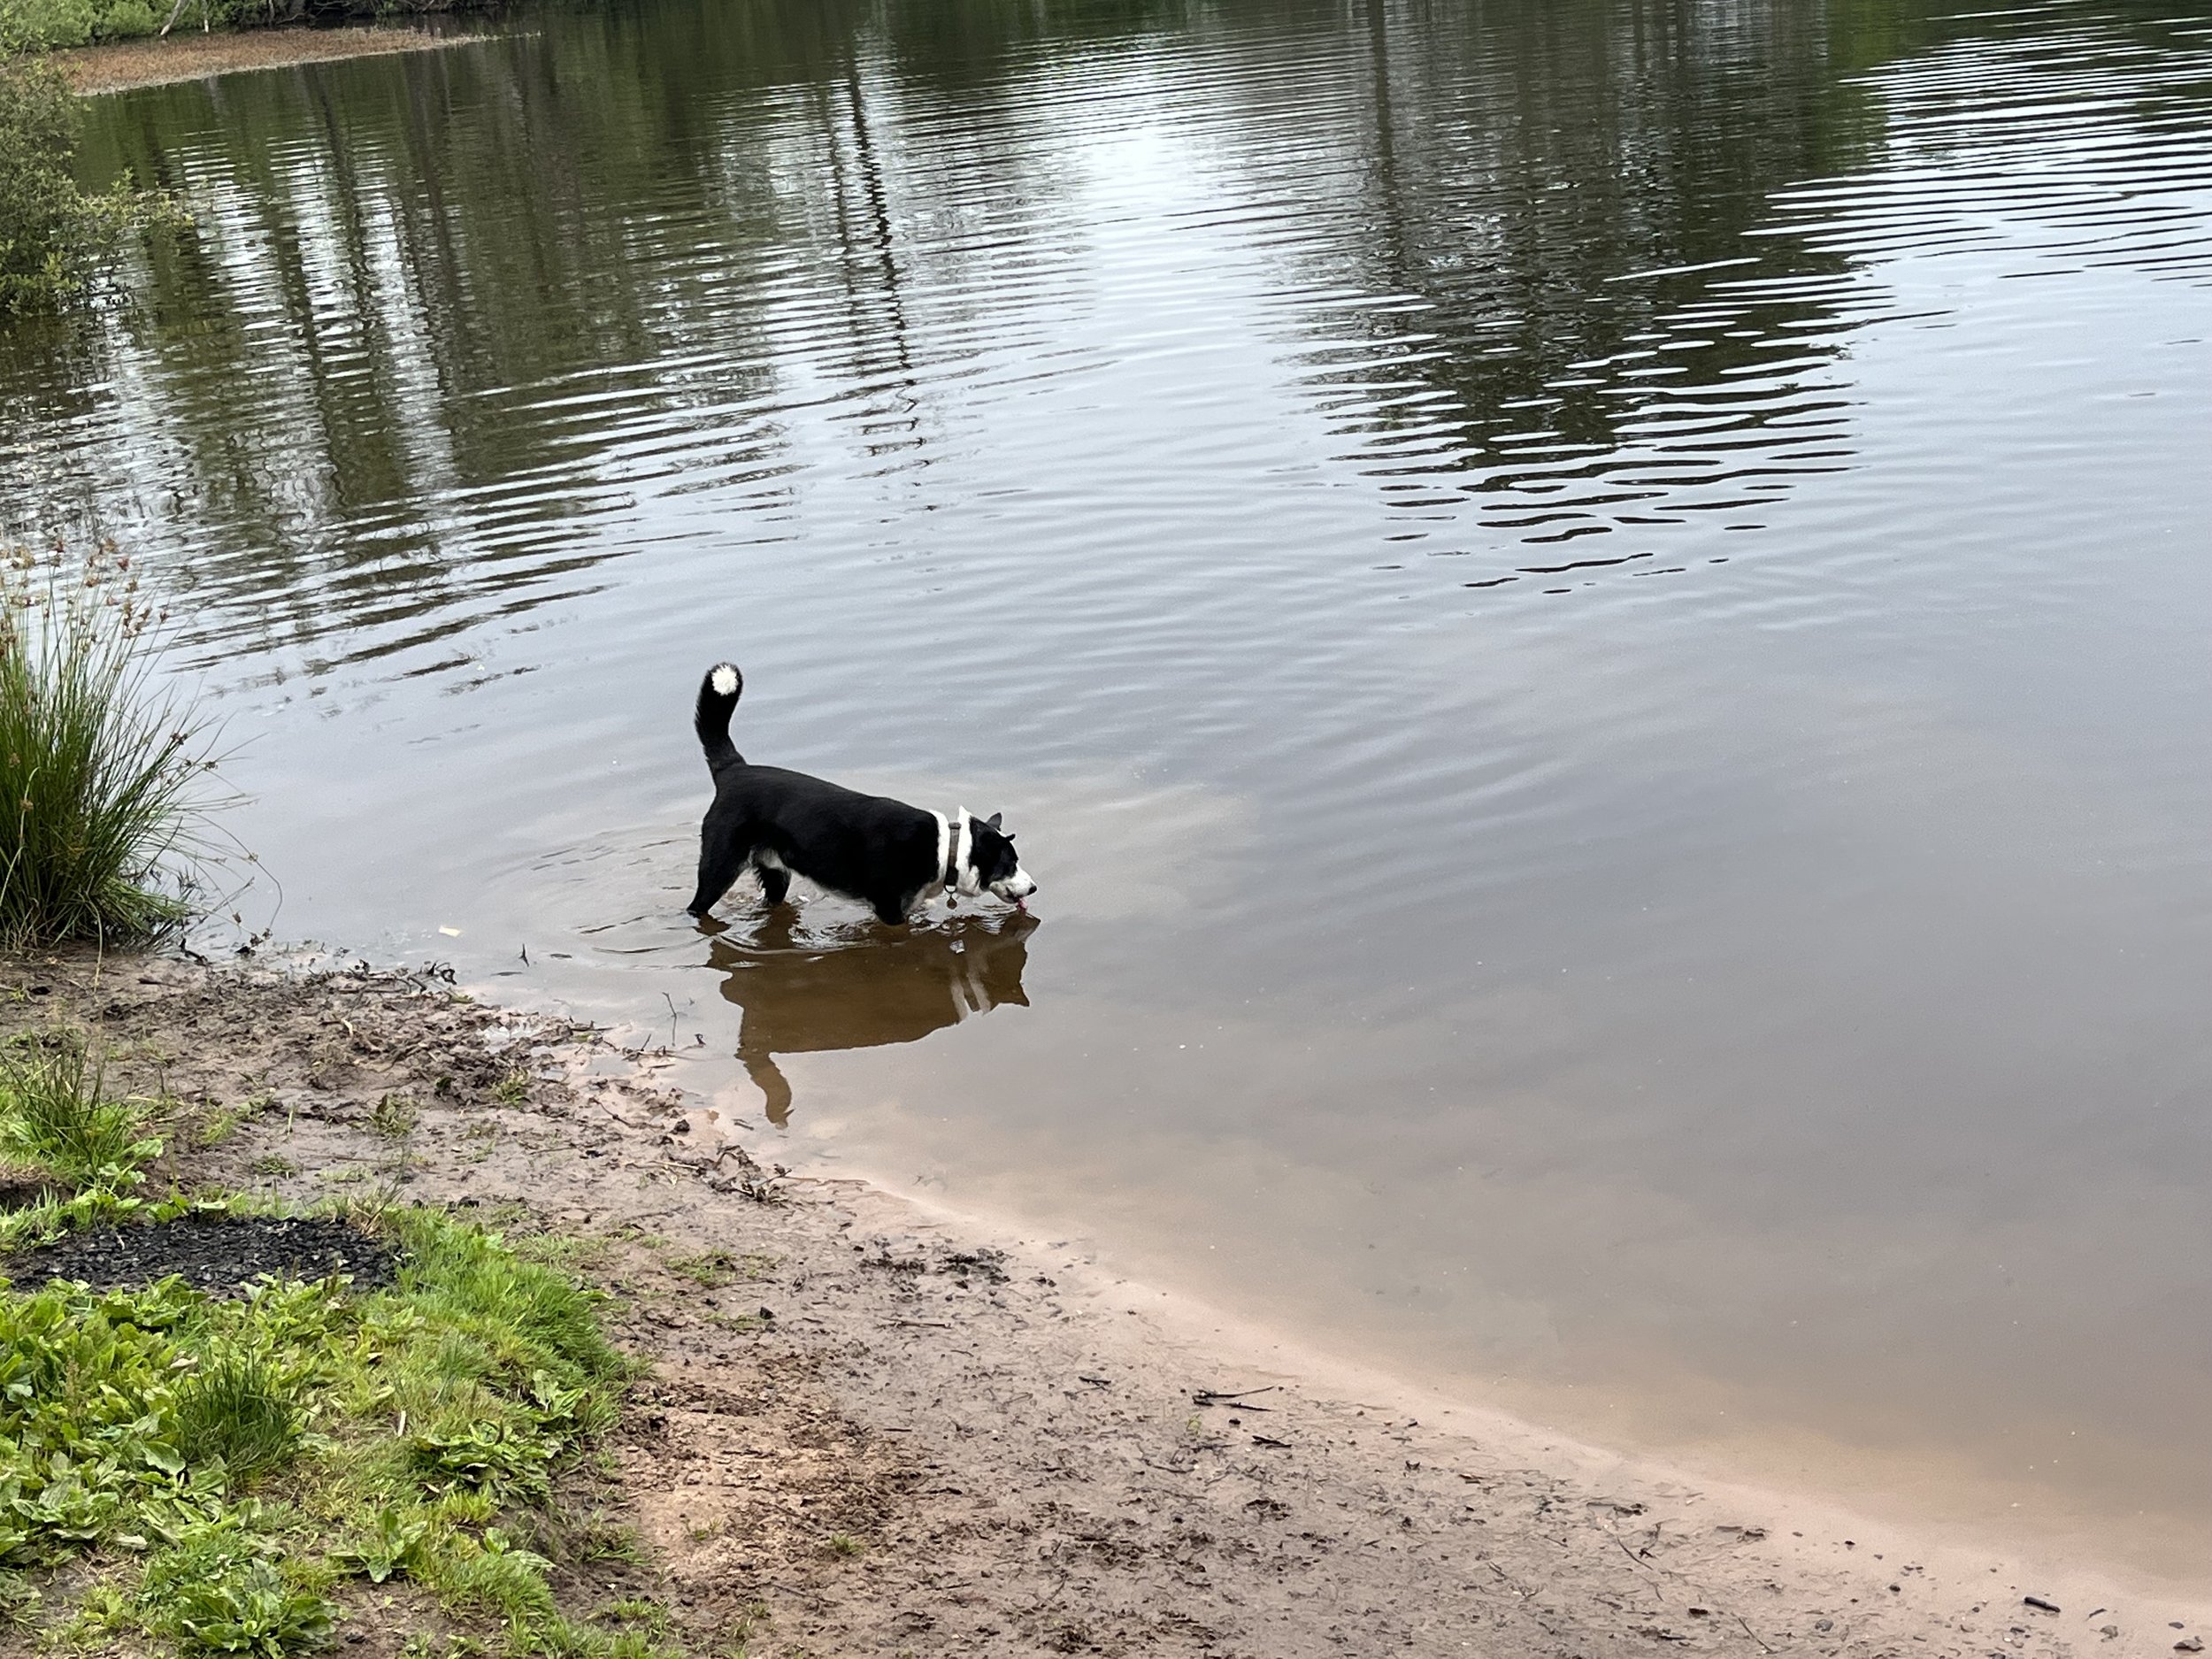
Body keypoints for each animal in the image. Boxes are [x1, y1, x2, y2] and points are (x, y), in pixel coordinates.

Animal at [681, 664, 1035, 925]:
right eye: (1009, 864)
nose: (1033, 888)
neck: (943, 848)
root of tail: (733, 770)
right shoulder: (890, 910)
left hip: (776, 875)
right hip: (720, 867)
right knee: (697, 904)